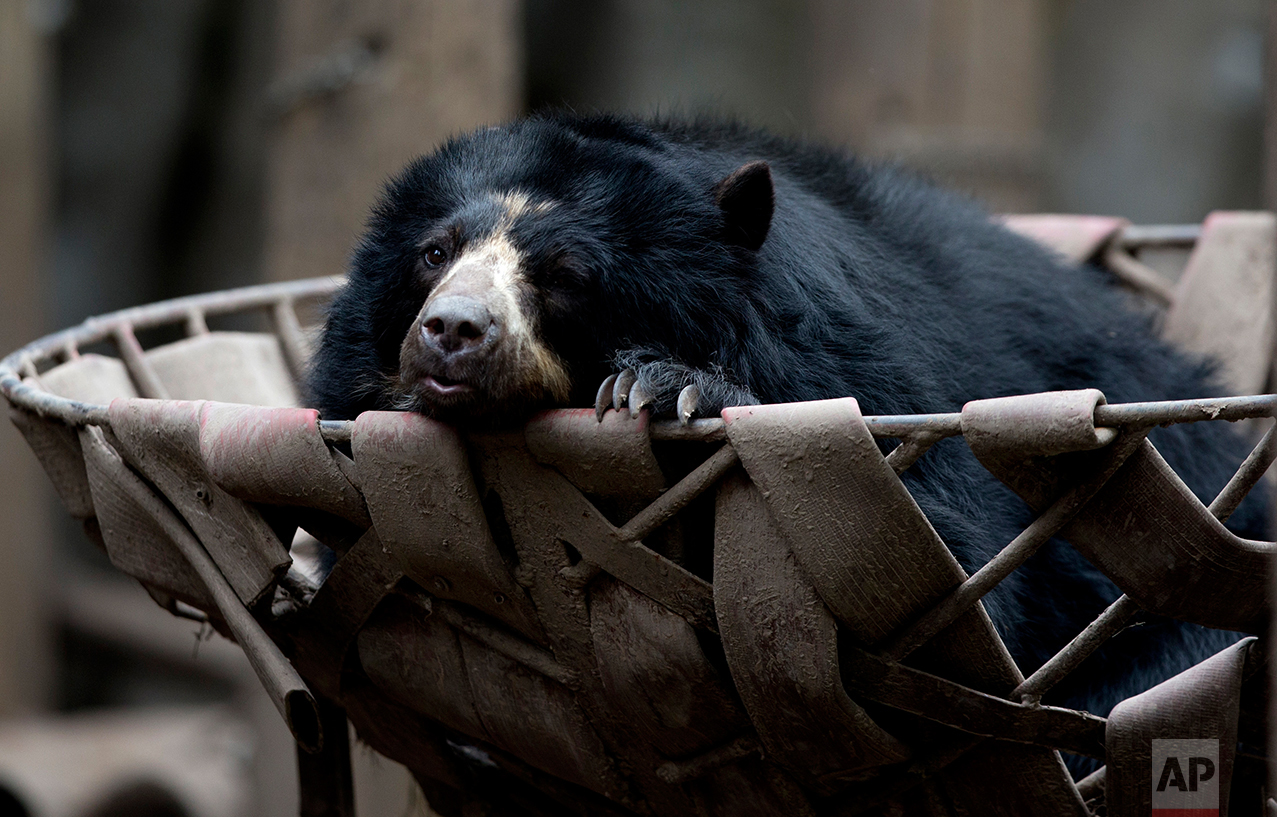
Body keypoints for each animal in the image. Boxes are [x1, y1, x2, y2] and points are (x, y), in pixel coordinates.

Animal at [303, 113, 1261, 771]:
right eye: (434, 252)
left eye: (566, 275)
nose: (453, 332)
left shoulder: (855, 369)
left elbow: (937, 582)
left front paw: (664, 388)